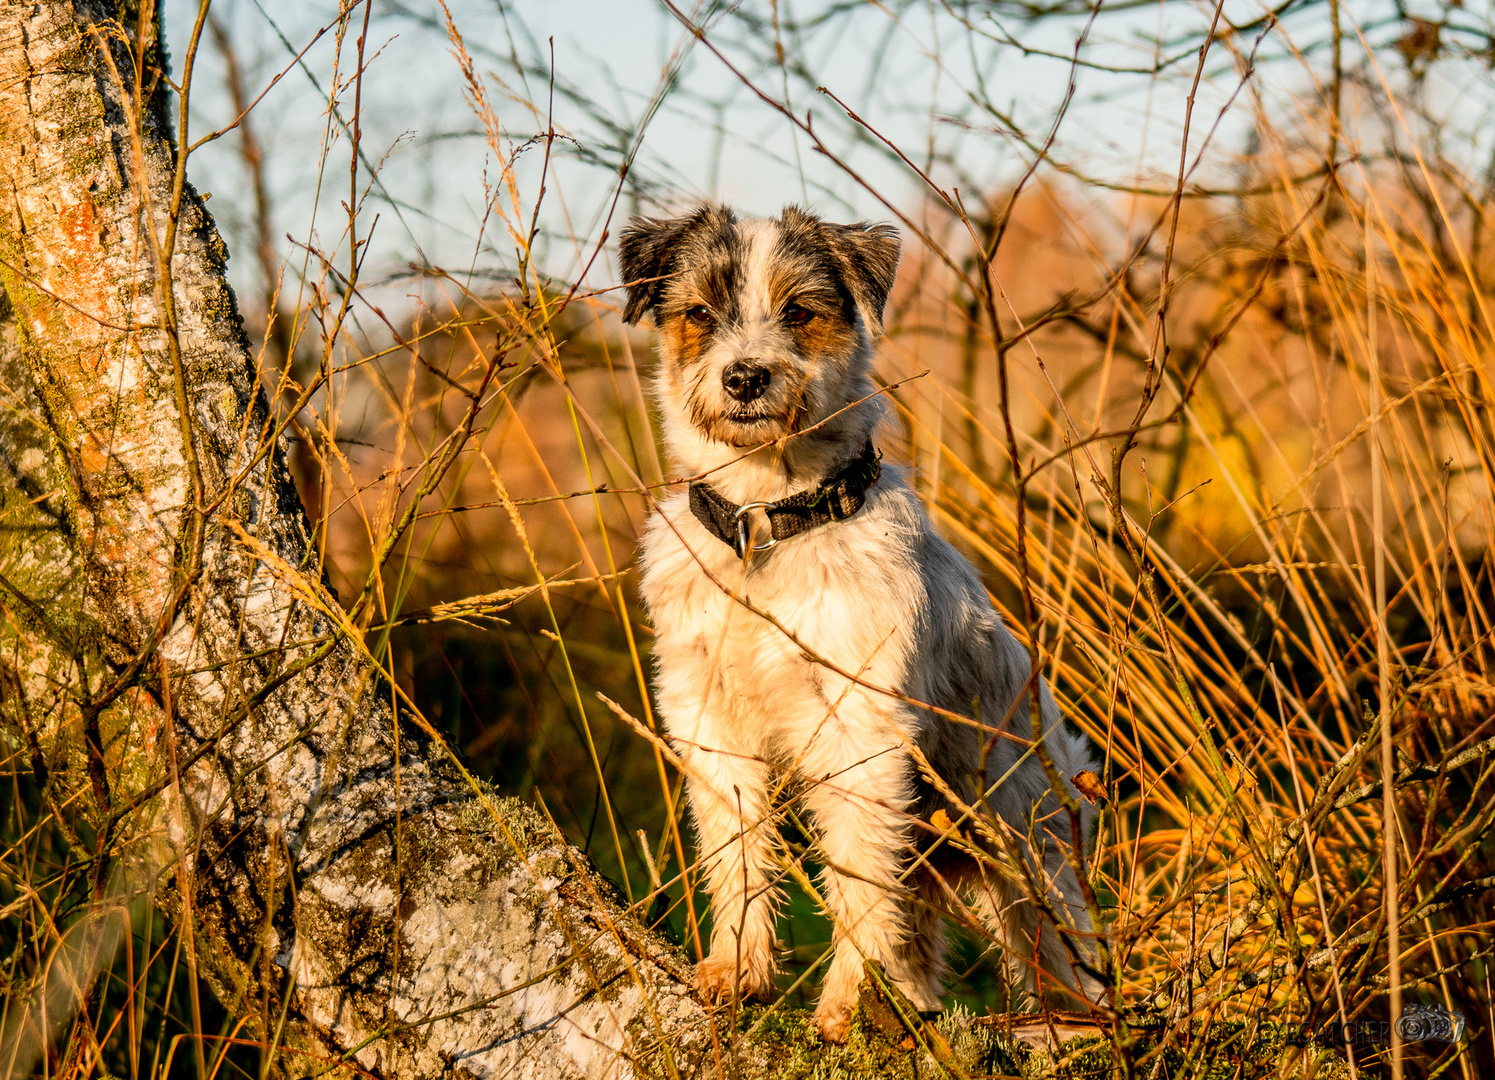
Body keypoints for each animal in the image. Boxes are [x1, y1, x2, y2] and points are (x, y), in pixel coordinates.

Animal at [615, 203, 1100, 1041]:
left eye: (799, 313)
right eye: (699, 314)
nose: (745, 376)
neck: (766, 526)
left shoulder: (859, 733)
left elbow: (857, 877)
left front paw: (844, 1005)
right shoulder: (709, 722)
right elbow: (737, 852)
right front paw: (736, 969)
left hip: (1022, 841)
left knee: (1057, 941)